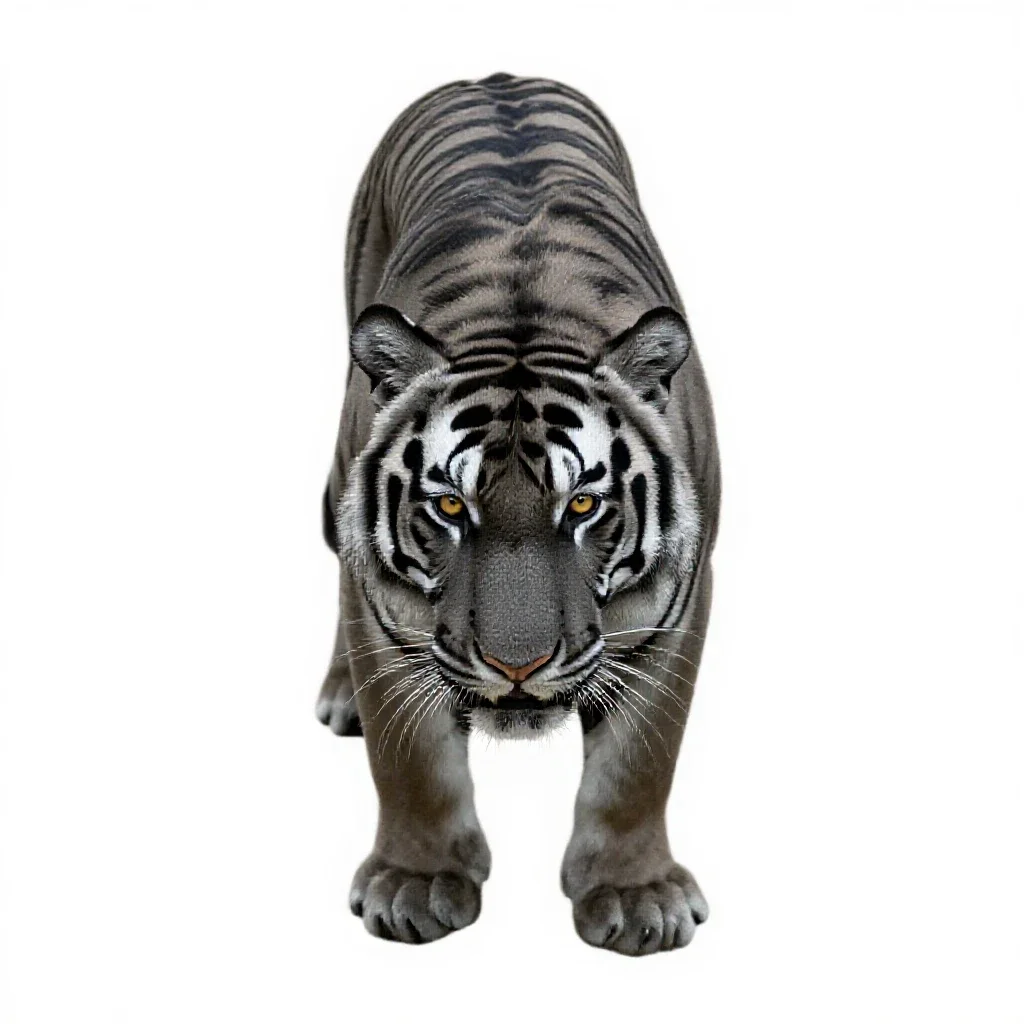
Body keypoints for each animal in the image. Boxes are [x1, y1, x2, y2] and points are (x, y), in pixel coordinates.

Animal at [316, 73, 720, 956]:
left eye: (583, 504)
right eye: (448, 504)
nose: (517, 668)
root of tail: (493, 75)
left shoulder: (678, 603)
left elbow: (638, 763)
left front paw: (635, 896)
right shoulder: (381, 609)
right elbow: (411, 758)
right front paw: (417, 884)